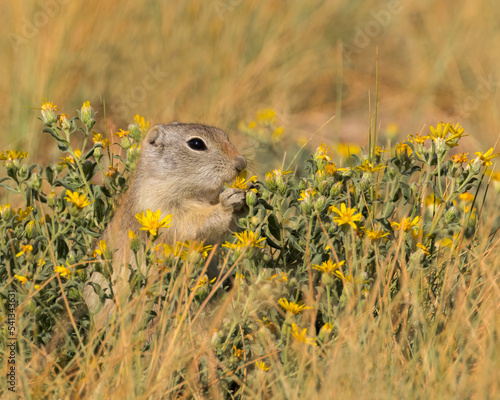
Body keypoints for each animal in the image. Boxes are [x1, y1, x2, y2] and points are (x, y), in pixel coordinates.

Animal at [83, 123, 247, 330]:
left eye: (225, 136)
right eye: (196, 144)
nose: (242, 163)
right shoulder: (161, 208)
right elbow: (193, 223)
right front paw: (228, 202)